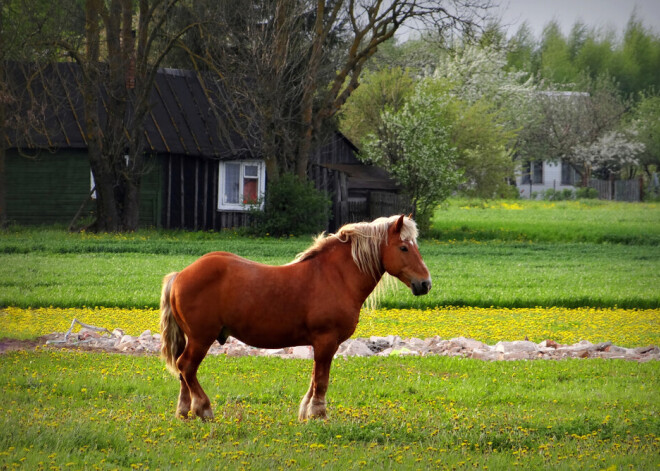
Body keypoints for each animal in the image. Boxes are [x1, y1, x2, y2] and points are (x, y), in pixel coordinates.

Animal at [157, 216, 430, 422]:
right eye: (404, 248)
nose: (425, 284)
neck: (336, 276)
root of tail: (179, 275)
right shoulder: (326, 341)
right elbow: (321, 380)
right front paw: (318, 414)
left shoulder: (322, 344)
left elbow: (314, 378)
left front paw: (306, 412)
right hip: (201, 338)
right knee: (186, 367)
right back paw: (203, 408)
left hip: (193, 339)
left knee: (183, 372)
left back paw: (184, 411)